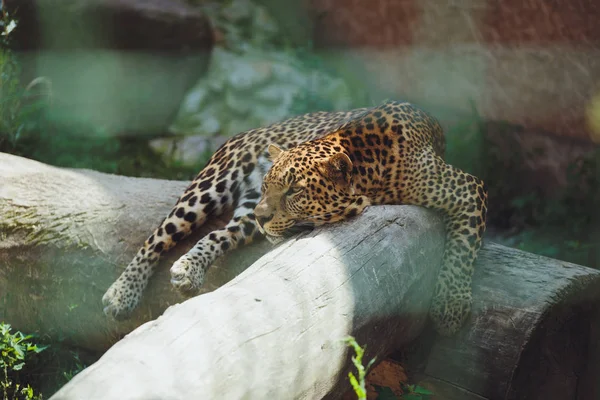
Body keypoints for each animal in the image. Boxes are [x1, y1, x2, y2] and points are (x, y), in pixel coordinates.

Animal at [103, 99, 488, 334]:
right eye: (270, 186)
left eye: (294, 191)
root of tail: (255, 129)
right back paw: (122, 293)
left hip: (242, 215)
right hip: (213, 183)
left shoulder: (468, 187)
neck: (373, 172)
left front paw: (450, 308)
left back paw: (189, 268)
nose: (263, 214)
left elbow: (464, 246)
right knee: (157, 236)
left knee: (220, 234)